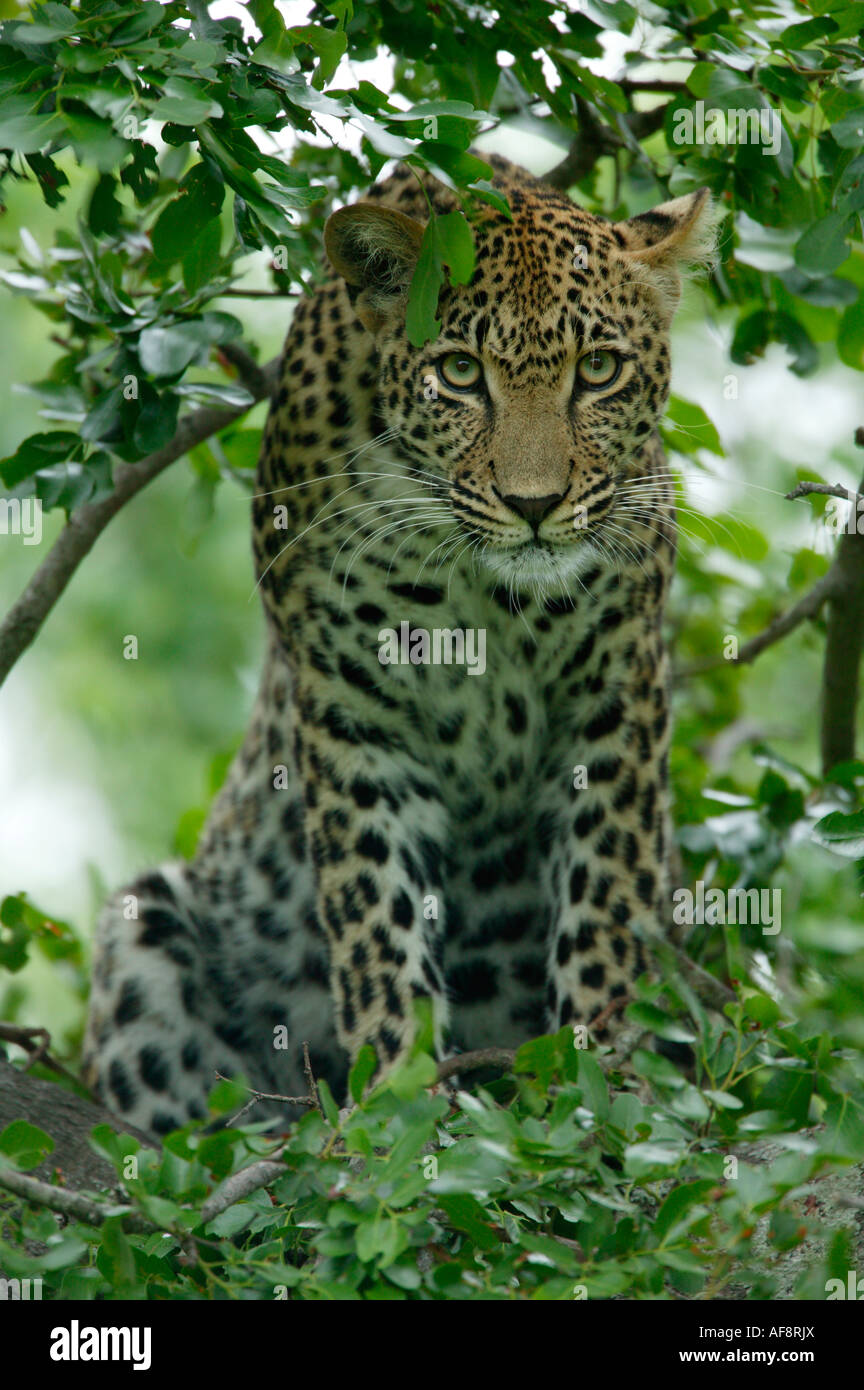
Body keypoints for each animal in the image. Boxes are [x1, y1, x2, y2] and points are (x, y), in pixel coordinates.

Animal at [83, 154, 718, 1135]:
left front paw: (607, 1079)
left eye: (599, 370)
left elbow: (608, 902)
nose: (535, 505)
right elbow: (375, 914)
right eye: (458, 373)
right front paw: (404, 1095)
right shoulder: (356, 709)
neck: (491, 591)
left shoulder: (617, 695)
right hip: (143, 935)